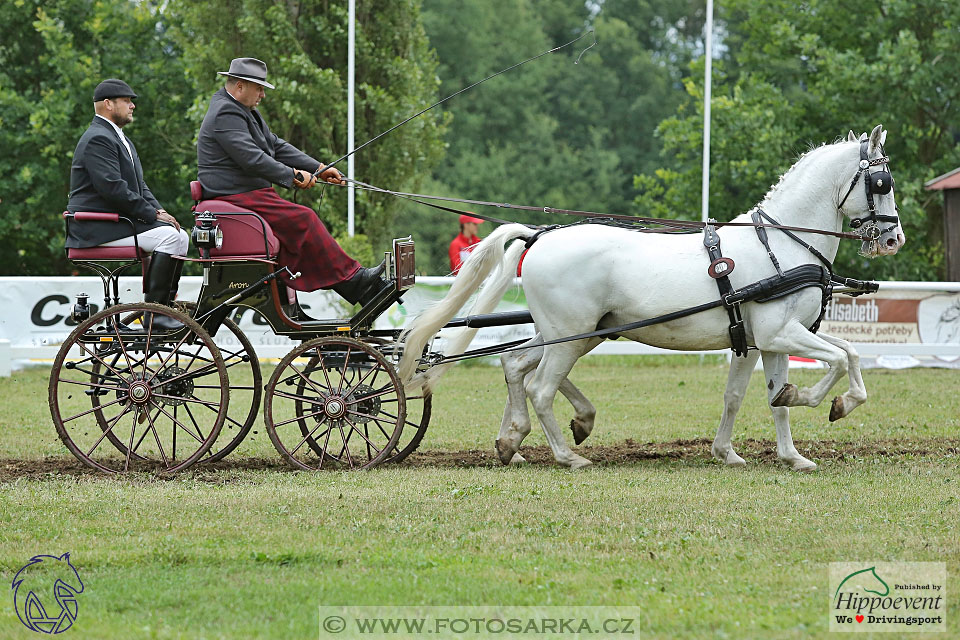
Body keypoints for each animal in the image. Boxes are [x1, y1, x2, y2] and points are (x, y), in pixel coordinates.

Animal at [400, 127, 908, 472]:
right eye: (882, 182)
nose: (893, 239)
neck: (783, 243)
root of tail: (540, 236)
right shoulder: (781, 331)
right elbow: (844, 358)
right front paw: (831, 403)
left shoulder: (764, 340)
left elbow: (758, 396)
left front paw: (775, 451)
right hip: (570, 336)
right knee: (539, 386)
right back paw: (567, 456)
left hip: (572, 333)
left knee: (516, 367)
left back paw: (517, 440)